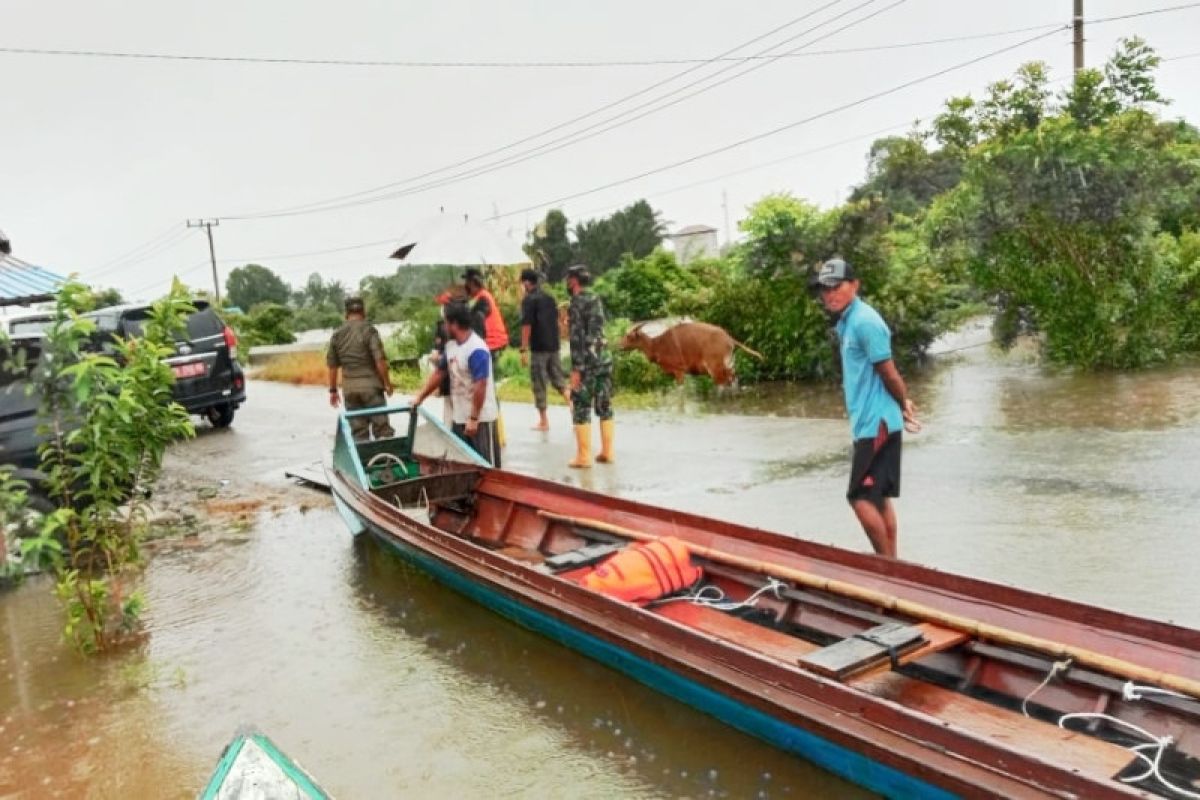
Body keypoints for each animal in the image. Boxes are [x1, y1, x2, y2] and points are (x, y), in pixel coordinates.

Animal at [624, 321, 763, 386]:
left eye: (629, 336)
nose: (619, 345)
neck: (658, 344)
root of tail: (728, 338)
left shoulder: (679, 371)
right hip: (729, 364)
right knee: (734, 379)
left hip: (715, 367)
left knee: (723, 383)